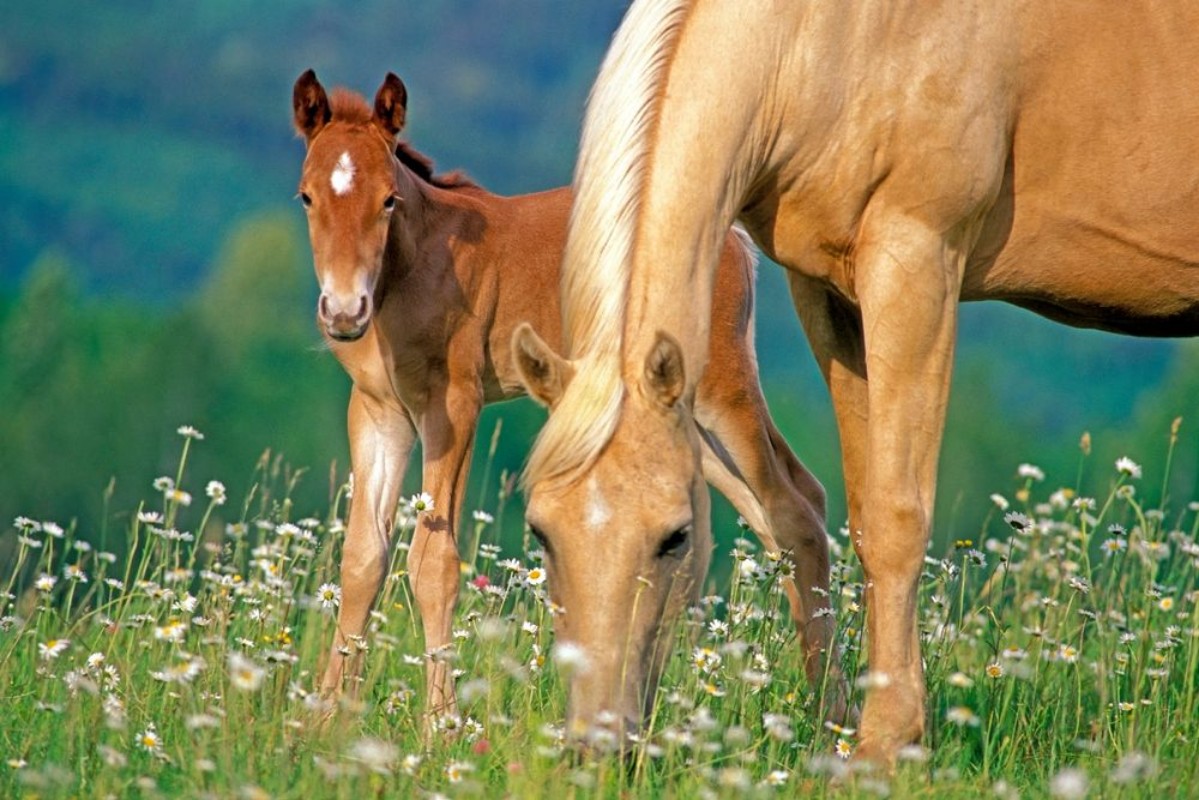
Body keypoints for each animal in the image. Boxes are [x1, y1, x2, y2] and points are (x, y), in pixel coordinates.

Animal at [288, 70, 844, 724]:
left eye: (388, 200)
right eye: (307, 197)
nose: (344, 311)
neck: (409, 270)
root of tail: (732, 238)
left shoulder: (454, 403)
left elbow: (434, 561)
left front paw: (441, 725)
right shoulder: (378, 411)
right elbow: (361, 559)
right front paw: (323, 720)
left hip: (720, 390)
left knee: (795, 508)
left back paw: (829, 713)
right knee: (777, 513)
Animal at [522, 0, 1199, 767]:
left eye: (676, 536)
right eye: (540, 531)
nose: (593, 748)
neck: (829, 34)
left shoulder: (914, 263)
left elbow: (898, 517)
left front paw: (883, 744)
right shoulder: (829, 296)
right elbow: (859, 513)